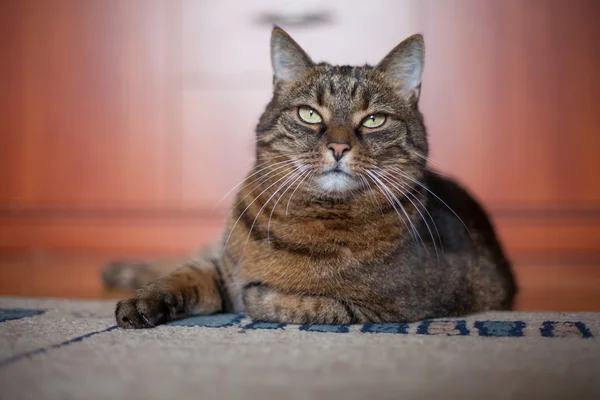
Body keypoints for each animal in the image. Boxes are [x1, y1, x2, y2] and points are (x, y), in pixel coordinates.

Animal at [106, 27, 516, 328]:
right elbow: (185, 276)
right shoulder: (221, 265)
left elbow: (290, 302)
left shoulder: (391, 308)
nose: (338, 146)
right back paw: (120, 270)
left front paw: (259, 294)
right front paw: (145, 300)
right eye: (309, 114)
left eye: (374, 119)